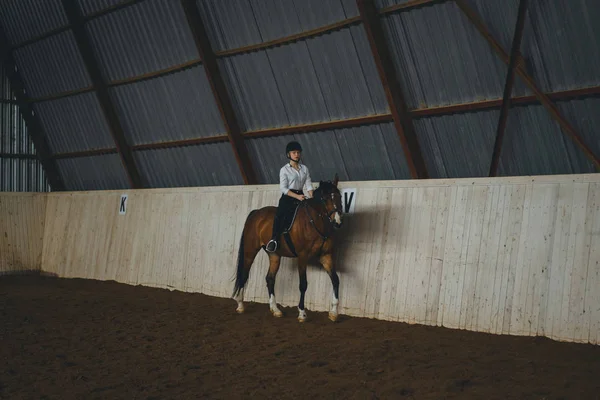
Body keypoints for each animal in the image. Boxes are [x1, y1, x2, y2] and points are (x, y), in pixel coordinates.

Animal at [231, 173, 342, 324]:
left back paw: (275, 310)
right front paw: (302, 313)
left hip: (274, 255)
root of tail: (256, 213)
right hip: (250, 251)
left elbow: (335, 280)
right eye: (325, 199)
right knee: (244, 274)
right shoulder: (302, 256)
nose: (337, 222)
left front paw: (334, 313)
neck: (314, 222)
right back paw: (240, 305)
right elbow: (303, 284)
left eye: (339, 196)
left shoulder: (326, 256)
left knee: (270, 278)